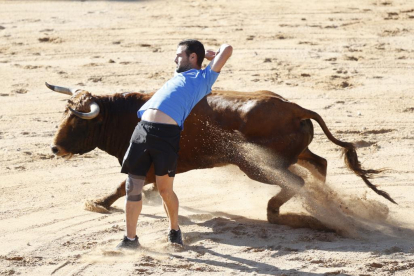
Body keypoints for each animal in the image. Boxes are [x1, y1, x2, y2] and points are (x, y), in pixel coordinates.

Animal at [45, 82, 394, 226]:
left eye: (78, 122)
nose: (55, 148)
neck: (127, 115)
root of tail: (294, 107)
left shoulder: (146, 163)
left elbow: (123, 186)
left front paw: (98, 203)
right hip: (296, 153)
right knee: (318, 165)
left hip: (259, 165)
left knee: (296, 181)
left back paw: (276, 212)